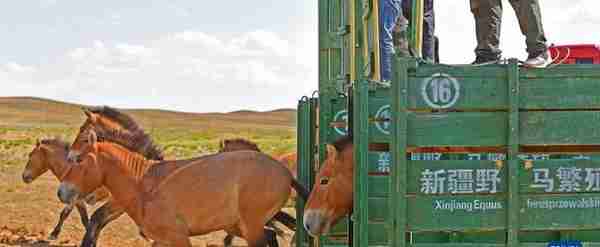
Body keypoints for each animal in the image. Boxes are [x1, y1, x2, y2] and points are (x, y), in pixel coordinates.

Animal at [58, 129, 308, 247]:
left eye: (78, 159)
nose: (61, 192)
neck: (143, 183)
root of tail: (284, 171)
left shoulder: (178, 238)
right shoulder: (162, 240)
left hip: (251, 227)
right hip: (240, 226)